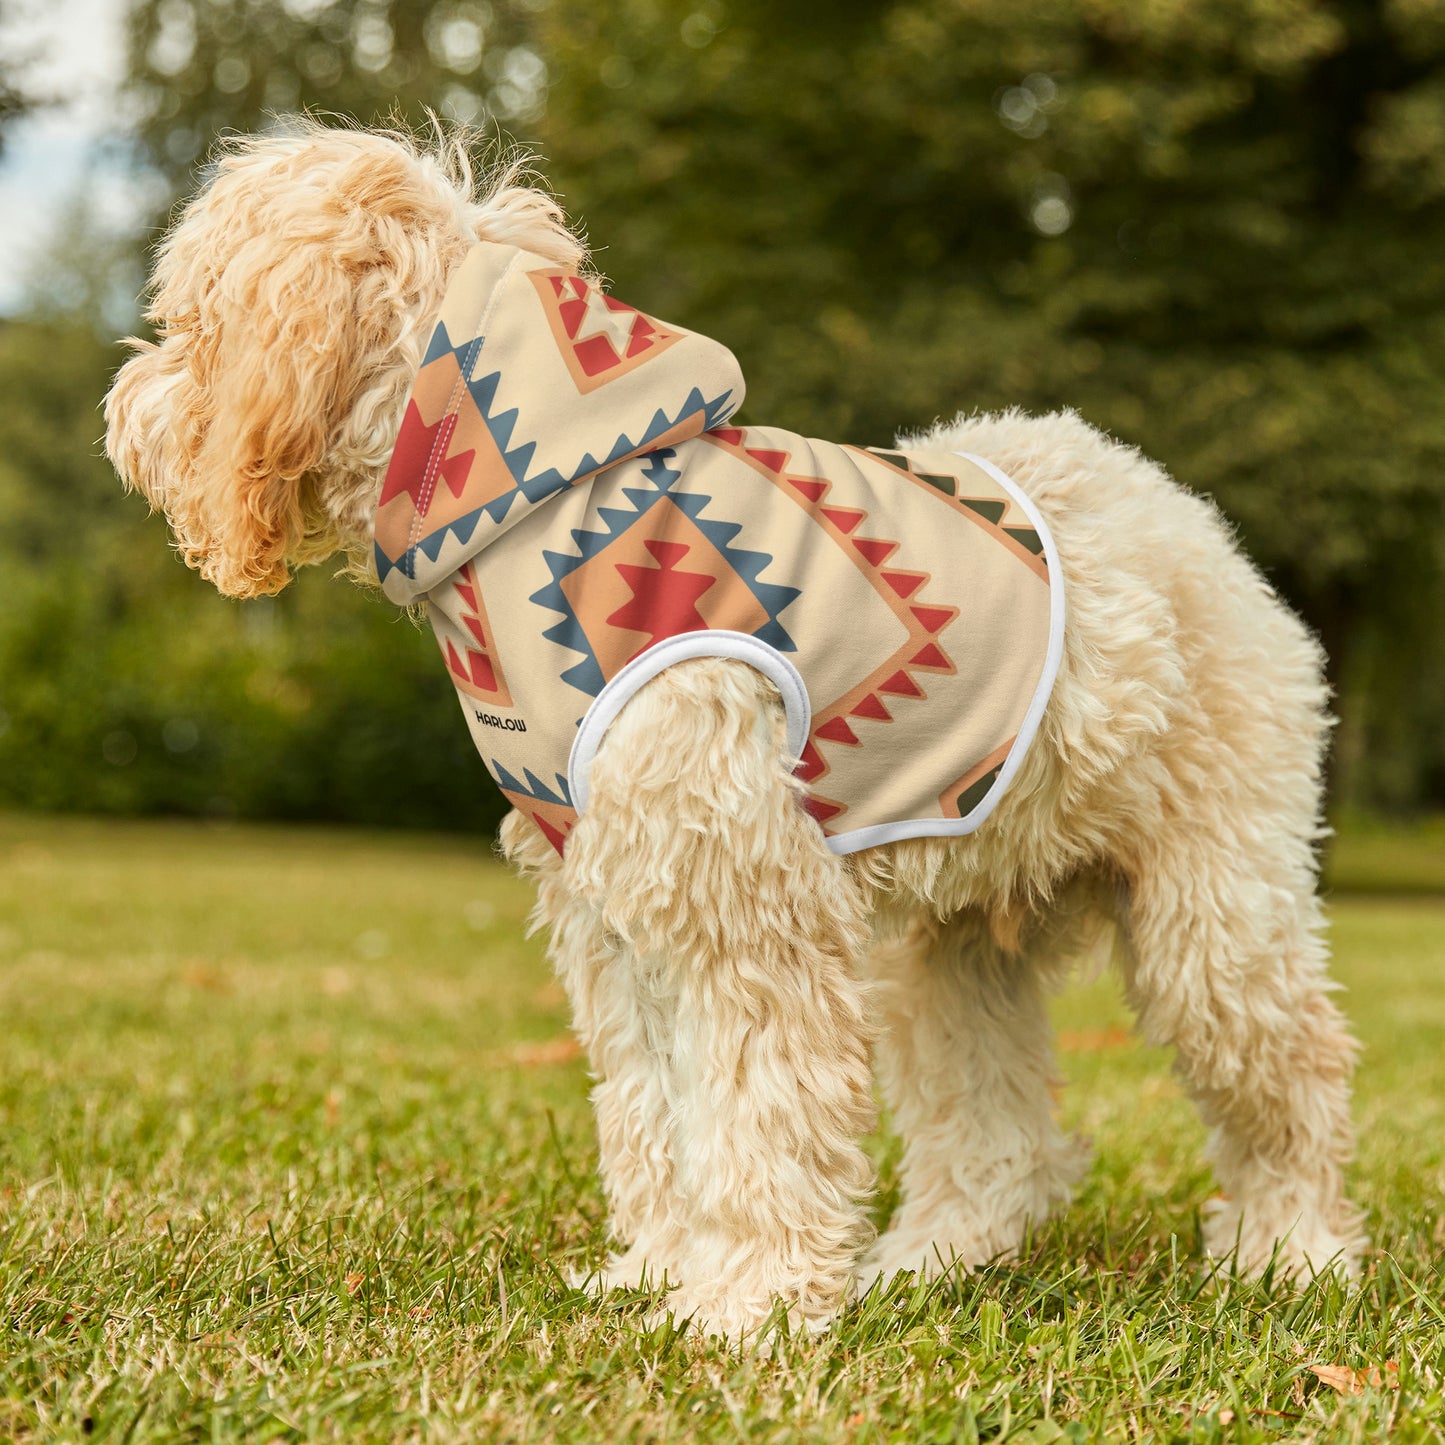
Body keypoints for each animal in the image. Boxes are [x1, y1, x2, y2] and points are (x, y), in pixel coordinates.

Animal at [106, 124, 1358, 1340]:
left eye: (189, 322)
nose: (122, 408)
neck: (531, 497)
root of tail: (1180, 513)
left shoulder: (743, 904)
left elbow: (757, 1113)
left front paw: (745, 1304)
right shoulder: (615, 910)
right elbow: (655, 1110)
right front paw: (660, 1272)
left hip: (1212, 915)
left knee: (1293, 1074)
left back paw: (1290, 1253)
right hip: (950, 947)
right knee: (997, 1134)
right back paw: (930, 1260)